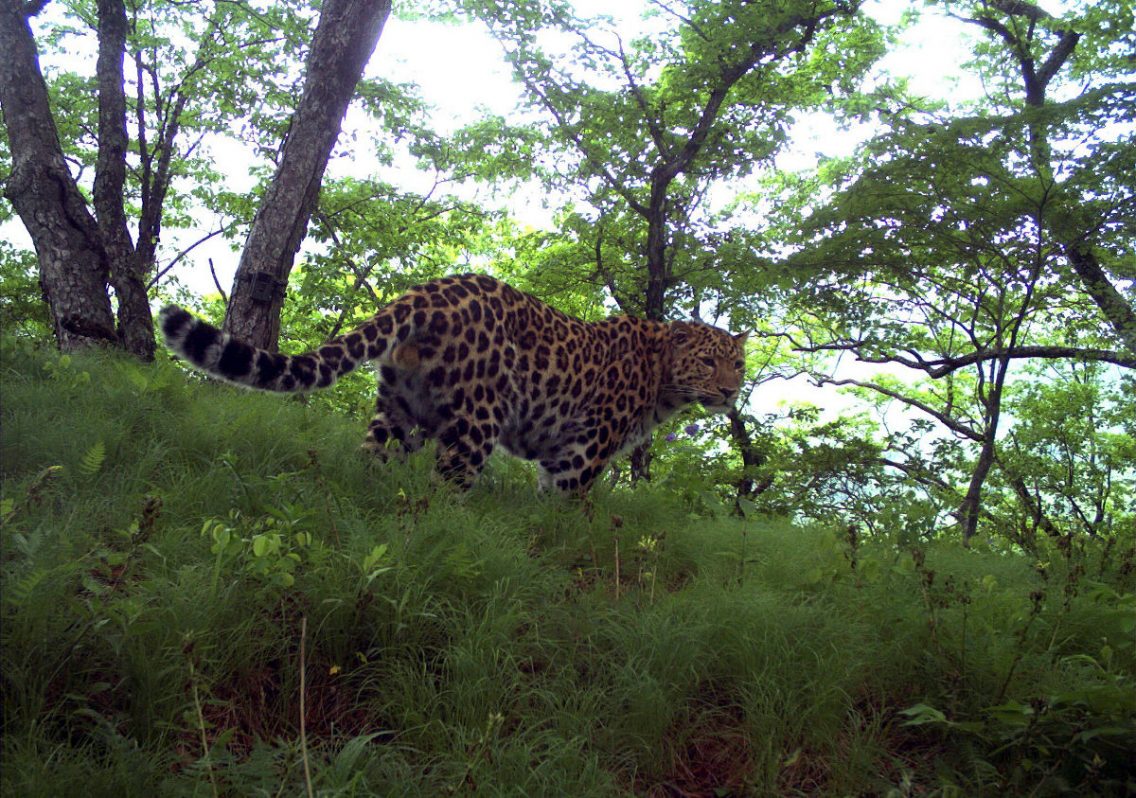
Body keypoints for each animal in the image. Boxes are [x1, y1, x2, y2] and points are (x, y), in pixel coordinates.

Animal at [160, 273, 747, 495]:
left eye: (737, 365)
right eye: (706, 362)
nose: (729, 393)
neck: (662, 382)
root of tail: (426, 291)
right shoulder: (580, 455)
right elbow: (564, 513)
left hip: (398, 413)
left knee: (373, 464)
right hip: (475, 422)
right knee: (444, 490)